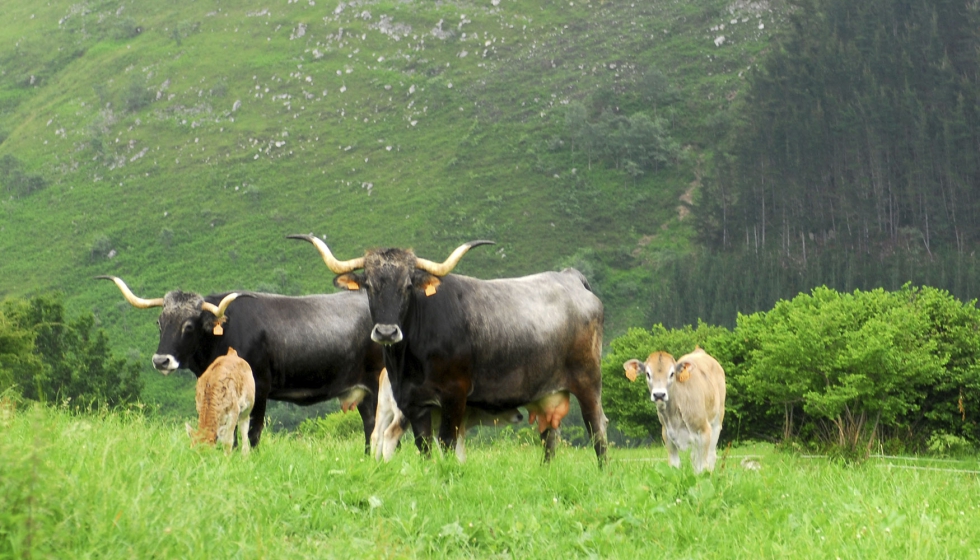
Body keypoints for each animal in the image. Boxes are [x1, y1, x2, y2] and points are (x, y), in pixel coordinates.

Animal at [97, 275, 385, 450]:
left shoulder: (260, 389)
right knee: (370, 426)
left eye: (189, 326)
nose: (161, 360)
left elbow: (251, 433)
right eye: (160, 322)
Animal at [370, 367, 524, 462]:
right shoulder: (458, 425)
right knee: (390, 434)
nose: (520, 416)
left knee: (376, 435)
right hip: (403, 416)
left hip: (384, 410)